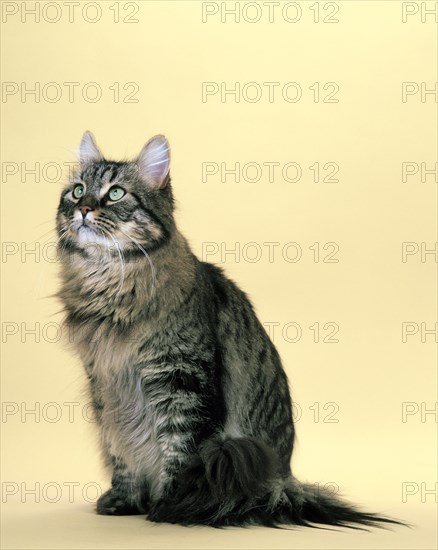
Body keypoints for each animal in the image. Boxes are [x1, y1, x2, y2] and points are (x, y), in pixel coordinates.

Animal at [57, 132, 408, 532]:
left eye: (115, 193)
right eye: (78, 190)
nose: (83, 209)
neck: (109, 287)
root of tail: (283, 479)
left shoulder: (183, 379)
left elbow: (179, 452)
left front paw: (169, 506)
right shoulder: (107, 388)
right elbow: (120, 453)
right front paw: (125, 500)